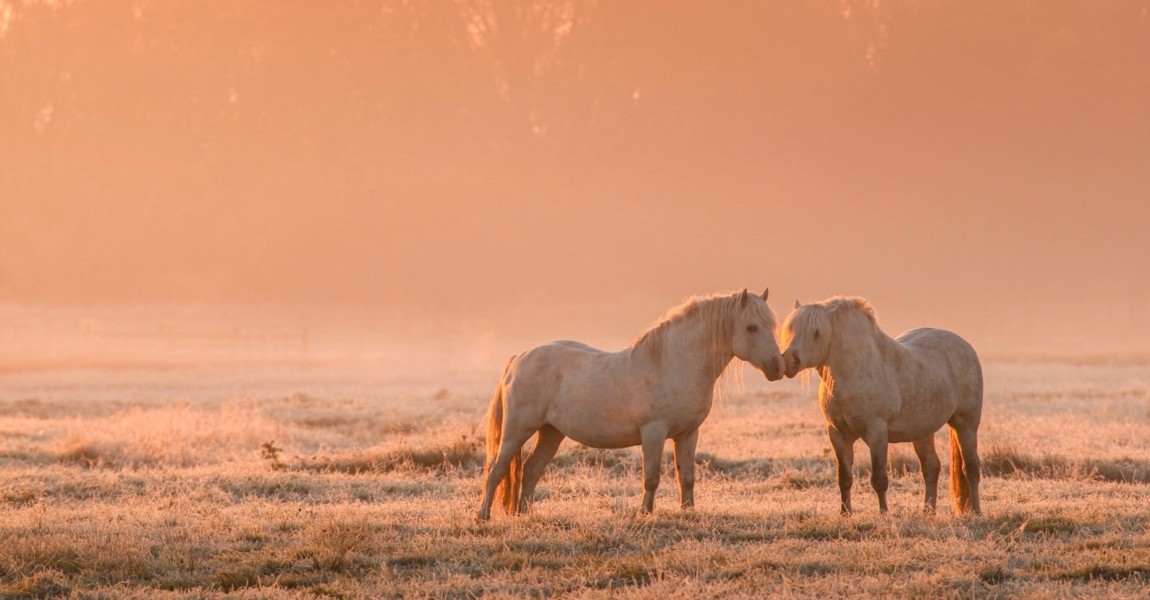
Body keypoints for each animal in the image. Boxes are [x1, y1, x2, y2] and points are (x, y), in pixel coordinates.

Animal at [473, 287, 782, 514]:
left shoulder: (688, 434)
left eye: (773, 325)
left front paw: (688, 512)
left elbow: (687, 477)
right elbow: (652, 476)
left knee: (531, 470)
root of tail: (519, 358)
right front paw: (645, 513)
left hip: (551, 433)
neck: (672, 363)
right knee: (496, 470)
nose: (777, 368)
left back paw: (523, 514)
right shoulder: (654, 432)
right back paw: (483, 516)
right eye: (752, 327)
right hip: (517, 430)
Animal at [786, 296, 984, 510]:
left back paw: (976, 510)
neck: (853, 371)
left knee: (971, 468)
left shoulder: (877, 432)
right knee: (931, 467)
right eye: (791, 329)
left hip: (966, 425)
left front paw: (884, 512)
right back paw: (928, 511)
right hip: (922, 432)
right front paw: (845, 513)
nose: (788, 361)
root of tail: (966, 346)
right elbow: (844, 478)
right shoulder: (837, 434)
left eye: (816, 333)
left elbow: (879, 479)